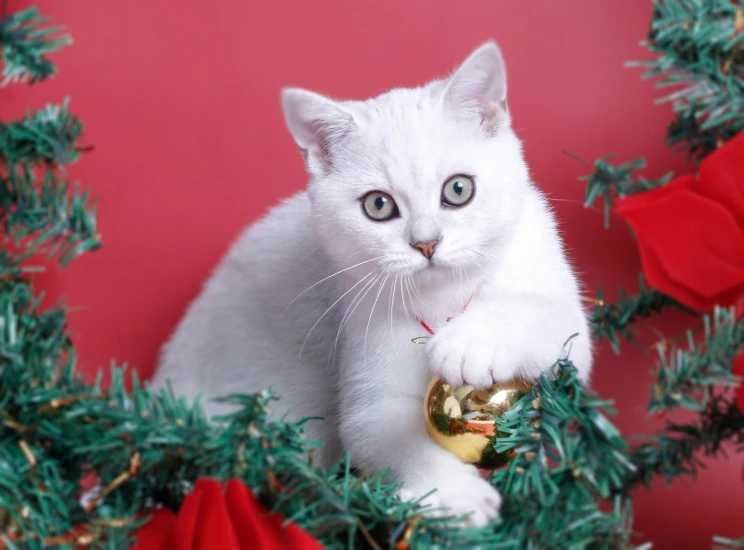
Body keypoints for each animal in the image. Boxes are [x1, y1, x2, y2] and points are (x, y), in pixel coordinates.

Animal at [153, 42, 592, 528]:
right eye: (378, 205)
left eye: (458, 189)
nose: (425, 243)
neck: (444, 301)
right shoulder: (369, 386)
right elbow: (395, 439)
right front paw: (457, 496)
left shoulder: (562, 316)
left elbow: (542, 317)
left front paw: (469, 344)